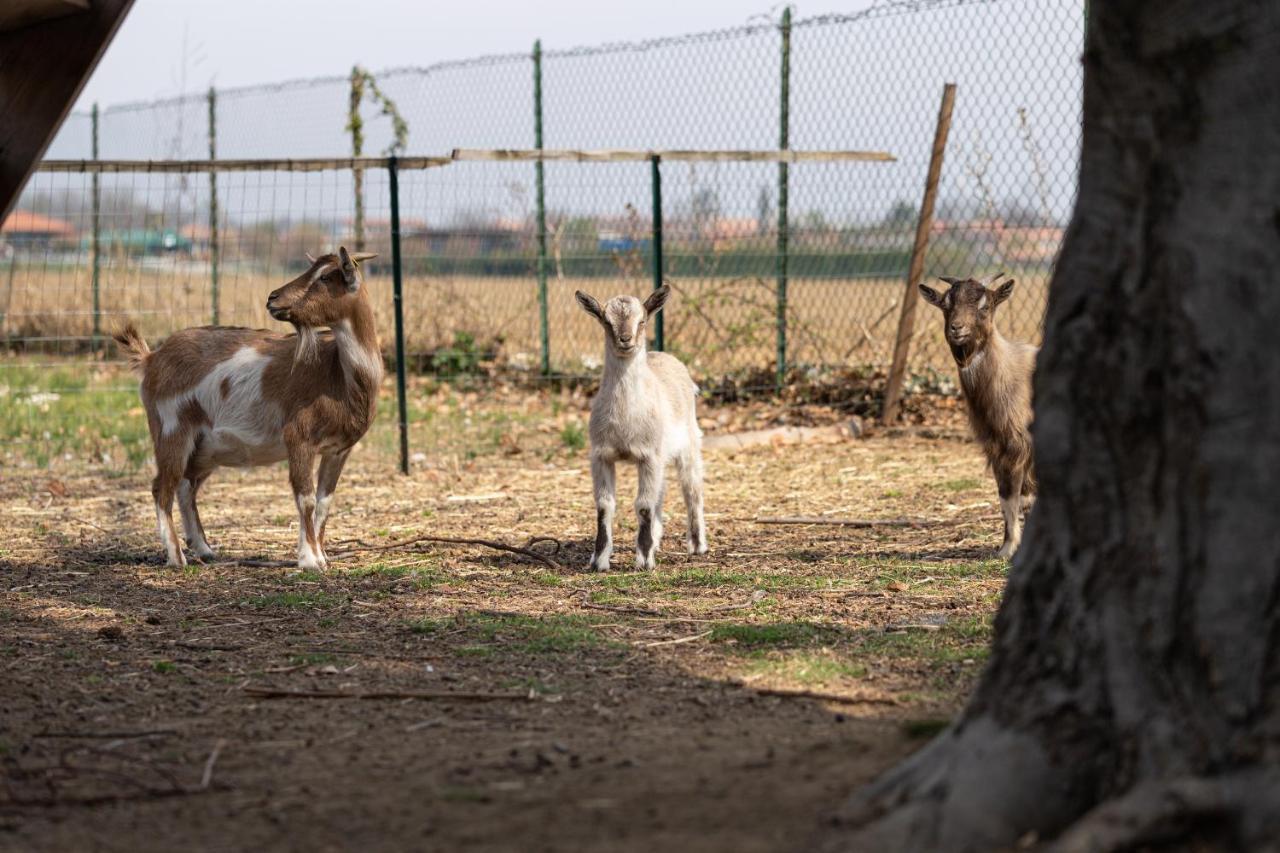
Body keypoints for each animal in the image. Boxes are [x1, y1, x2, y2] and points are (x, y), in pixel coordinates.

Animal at [116, 245, 378, 568]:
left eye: (326, 276)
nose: (273, 298)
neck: (338, 374)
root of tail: (151, 358)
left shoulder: (339, 449)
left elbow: (324, 502)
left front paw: (321, 555)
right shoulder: (299, 437)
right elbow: (305, 498)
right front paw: (309, 560)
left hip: (204, 447)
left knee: (185, 486)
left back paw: (203, 548)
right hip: (170, 428)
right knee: (161, 487)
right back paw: (177, 557)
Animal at [921, 272, 1039, 558]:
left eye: (985, 306)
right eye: (945, 304)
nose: (957, 329)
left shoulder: (1022, 446)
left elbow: (1024, 498)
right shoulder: (997, 448)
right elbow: (1008, 498)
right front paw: (1007, 548)